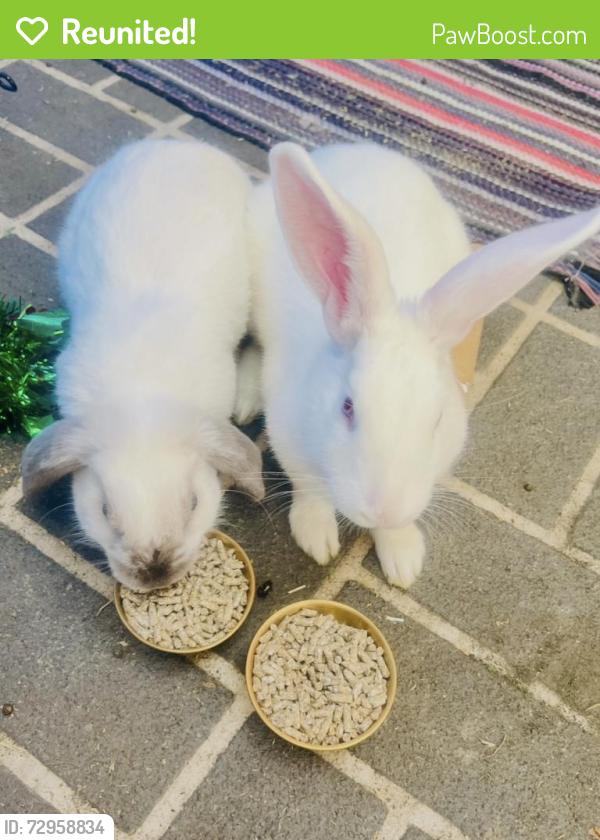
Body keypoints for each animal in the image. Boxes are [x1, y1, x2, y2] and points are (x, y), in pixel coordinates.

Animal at [248, 141, 600, 588]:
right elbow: (309, 491)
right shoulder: (290, 441)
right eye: (347, 407)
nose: (383, 508)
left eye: (436, 419)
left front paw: (403, 560)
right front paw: (318, 538)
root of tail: (362, 146)